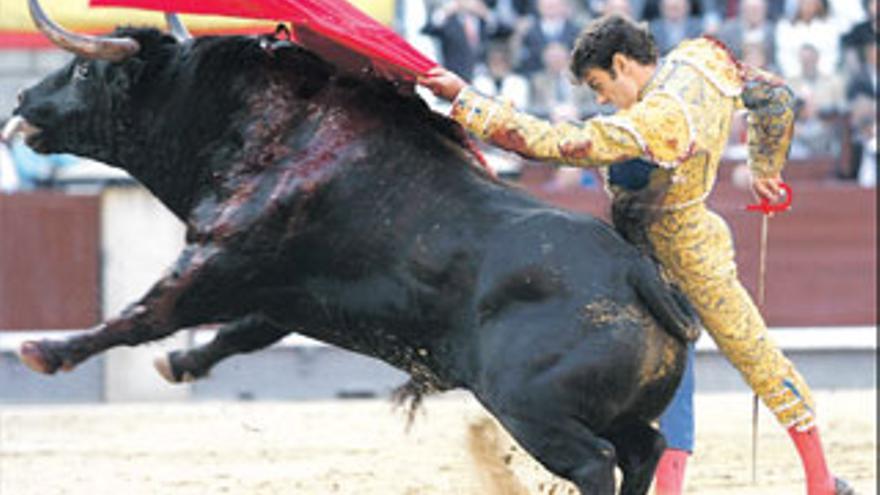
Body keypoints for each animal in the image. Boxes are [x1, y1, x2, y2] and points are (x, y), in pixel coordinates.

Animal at [10, 28, 700, 495]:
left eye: (82, 72)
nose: (19, 99)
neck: (273, 128)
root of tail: (635, 271)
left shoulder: (222, 256)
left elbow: (146, 313)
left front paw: (46, 351)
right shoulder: (284, 291)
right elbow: (240, 332)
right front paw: (180, 363)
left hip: (531, 408)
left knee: (595, 462)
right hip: (612, 409)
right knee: (646, 449)